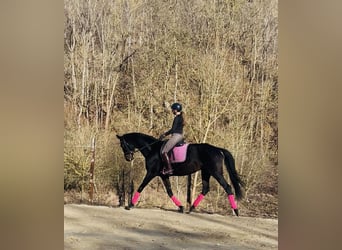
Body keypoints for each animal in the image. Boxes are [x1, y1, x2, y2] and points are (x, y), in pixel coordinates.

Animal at [116, 132, 244, 216]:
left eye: (122, 145)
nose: (128, 158)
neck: (151, 148)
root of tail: (218, 149)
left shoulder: (151, 173)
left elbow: (141, 187)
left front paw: (130, 205)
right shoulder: (164, 175)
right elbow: (169, 191)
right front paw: (181, 207)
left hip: (216, 172)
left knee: (227, 187)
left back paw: (236, 211)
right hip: (206, 172)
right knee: (205, 188)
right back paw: (190, 208)